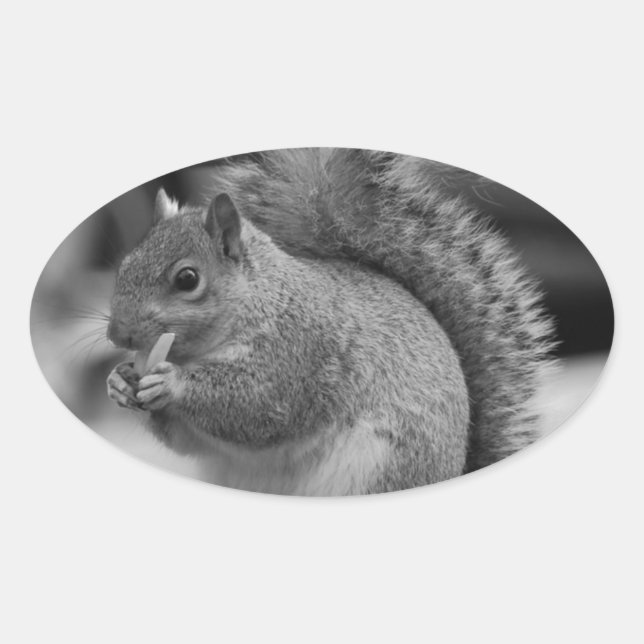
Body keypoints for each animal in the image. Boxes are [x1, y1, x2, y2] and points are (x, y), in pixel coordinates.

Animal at [106, 148, 556, 495]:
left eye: (187, 279)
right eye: (124, 265)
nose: (116, 335)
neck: (262, 299)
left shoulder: (300, 352)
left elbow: (259, 407)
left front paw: (170, 381)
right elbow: (187, 442)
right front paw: (119, 382)